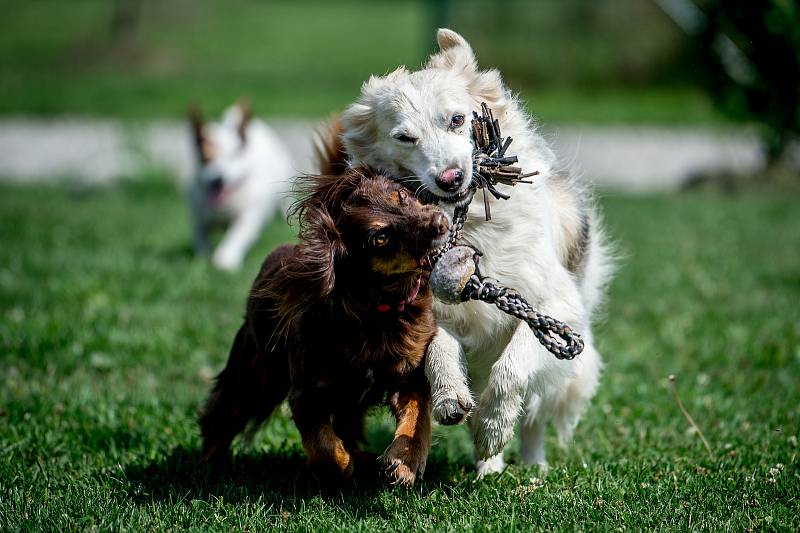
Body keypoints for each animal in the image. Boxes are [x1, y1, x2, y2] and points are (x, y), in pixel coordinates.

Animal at [188, 102, 294, 272]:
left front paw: (225, 258)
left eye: (233, 156)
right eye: (205, 159)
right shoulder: (199, 218)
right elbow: (200, 236)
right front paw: (205, 256)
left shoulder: (247, 216)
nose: (217, 179)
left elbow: (237, 235)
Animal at [198, 167, 450, 486]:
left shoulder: (410, 374)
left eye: (403, 196)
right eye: (380, 237)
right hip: (255, 373)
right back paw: (208, 463)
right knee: (223, 412)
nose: (440, 222)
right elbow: (324, 447)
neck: (377, 312)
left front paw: (405, 464)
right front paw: (342, 467)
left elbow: (416, 418)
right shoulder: (307, 391)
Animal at [338, 29, 612, 474]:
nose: (451, 179)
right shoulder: (433, 313)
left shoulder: (557, 305)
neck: (469, 229)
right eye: (404, 138)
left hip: (567, 374)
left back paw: (531, 466)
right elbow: (439, 351)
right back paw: (488, 468)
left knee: (534, 416)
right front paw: (452, 397)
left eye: (457, 119)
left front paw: (494, 427)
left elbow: (514, 363)